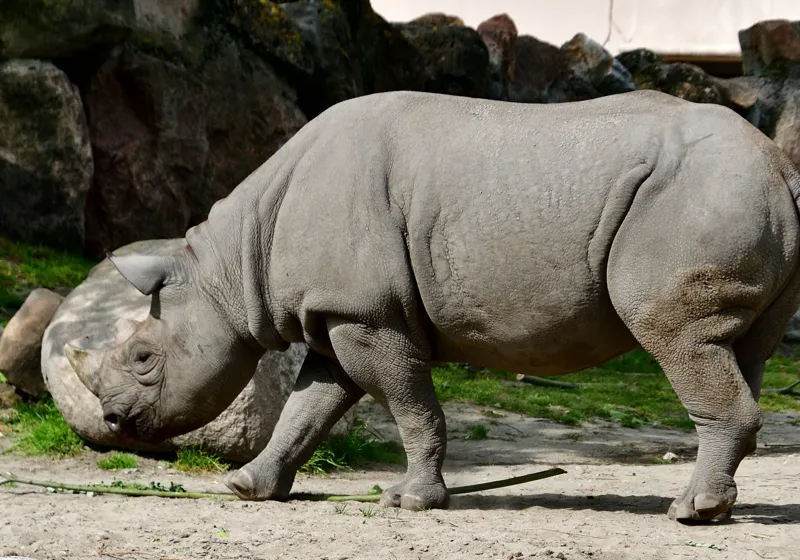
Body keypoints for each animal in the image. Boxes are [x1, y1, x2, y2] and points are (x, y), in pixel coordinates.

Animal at [66, 90, 800, 523]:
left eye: (143, 357)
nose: (113, 421)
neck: (232, 265)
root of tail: (779, 164)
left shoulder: (366, 315)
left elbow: (410, 407)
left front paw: (411, 502)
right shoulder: (339, 313)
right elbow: (307, 409)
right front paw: (247, 487)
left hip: (696, 198)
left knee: (678, 339)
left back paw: (688, 513)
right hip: (736, 197)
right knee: (740, 350)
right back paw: (714, 508)